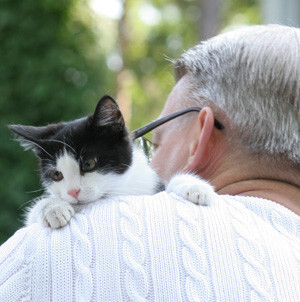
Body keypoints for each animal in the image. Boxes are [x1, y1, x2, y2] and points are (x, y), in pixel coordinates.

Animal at [8, 95, 216, 228]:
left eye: (89, 163)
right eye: (56, 174)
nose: (72, 191)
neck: (119, 190)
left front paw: (195, 187)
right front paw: (52, 207)